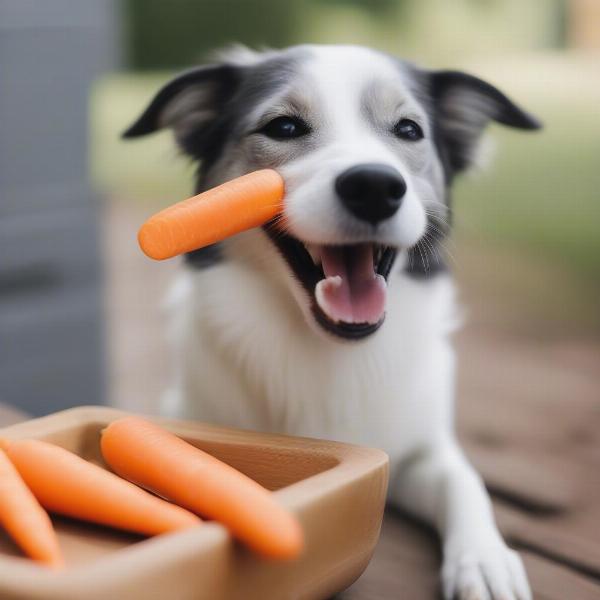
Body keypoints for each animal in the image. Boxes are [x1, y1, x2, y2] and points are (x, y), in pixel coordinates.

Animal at [125, 44, 540, 596]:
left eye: (409, 130)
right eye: (283, 127)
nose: (374, 186)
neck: (327, 352)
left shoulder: (423, 450)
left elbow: (464, 481)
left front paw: (485, 560)